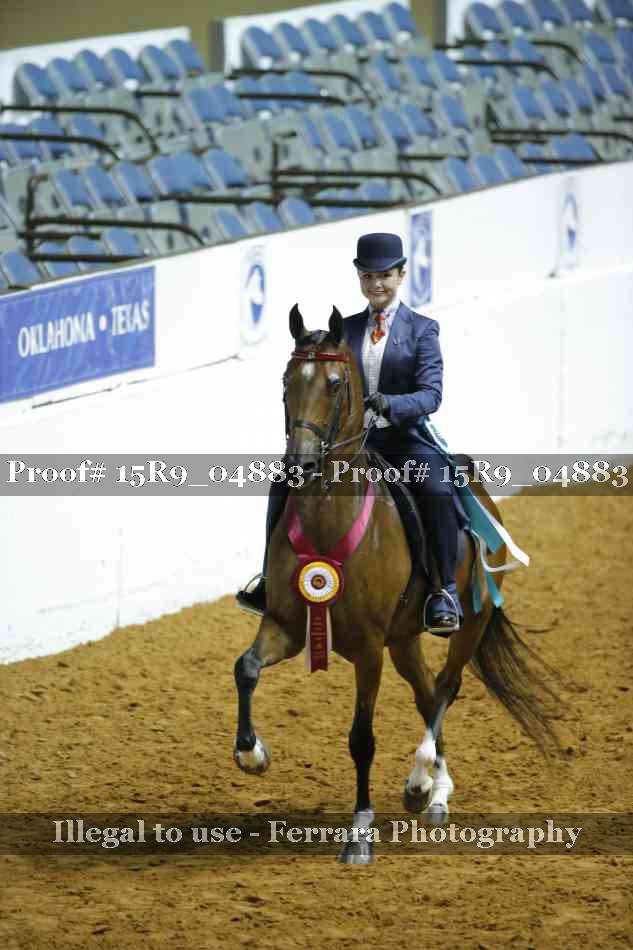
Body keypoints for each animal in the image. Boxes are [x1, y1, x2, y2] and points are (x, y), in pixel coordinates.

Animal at [234, 305, 559, 864]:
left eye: (336, 384)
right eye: (285, 382)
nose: (300, 463)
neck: (329, 516)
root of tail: (479, 494)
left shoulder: (368, 649)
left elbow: (361, 738)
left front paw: (359, 835)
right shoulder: (287, 625)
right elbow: (246, 669)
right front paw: (252, 754)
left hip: (468, 623)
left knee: (446, 687)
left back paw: (423, 781)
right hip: (404, 638)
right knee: (427, 693)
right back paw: (431, 789)